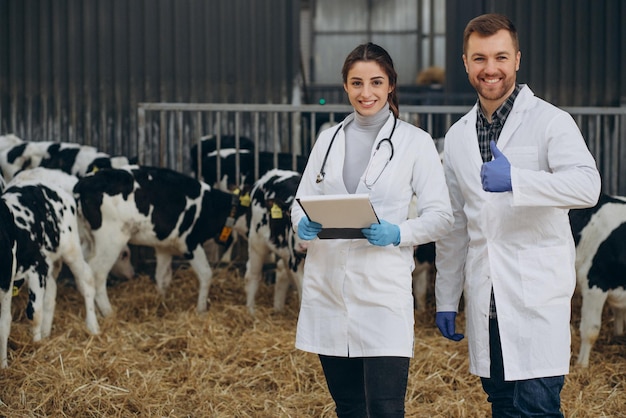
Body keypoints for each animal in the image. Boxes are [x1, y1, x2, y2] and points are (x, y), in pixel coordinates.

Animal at [0, 168, 100, 364]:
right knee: (52, 290)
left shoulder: (33, 268)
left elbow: (30, 314)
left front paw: (35, 345)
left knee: (86, 279)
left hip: (70, 248)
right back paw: (47, 333)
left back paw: (92, 326)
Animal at [71, 165, 241, 316]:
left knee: (84, 271)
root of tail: (84, 182)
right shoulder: (190, 243)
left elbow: (162, 277)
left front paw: (161, 301)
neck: (211, 206)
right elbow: (206, 274)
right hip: (111, 239)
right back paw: (109, 313)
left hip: (87, 239)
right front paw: (201, 310)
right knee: (97, 273)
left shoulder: (164, 247)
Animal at [243, 168, 306, 316]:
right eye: (290, 215)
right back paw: (251, 312)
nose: (302, 246)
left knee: (281, 270)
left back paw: (278, 308)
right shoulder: (296, 261)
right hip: (256, 243)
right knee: (253, 275)